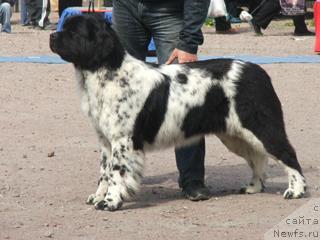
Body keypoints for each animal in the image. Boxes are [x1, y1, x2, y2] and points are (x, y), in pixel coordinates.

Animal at [48, 14, 306, 211]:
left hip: (260, 125)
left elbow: (117, 172)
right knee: (258, 158)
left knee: (286, 153)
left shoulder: (123, 140)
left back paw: (296, 191)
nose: (52, 36)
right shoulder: (105, 140)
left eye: (73, 32)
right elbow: (104, 171)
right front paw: (98, 196)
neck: (107, 72)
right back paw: (253, 187)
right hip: (235, 135)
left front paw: (110, 202)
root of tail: (258, 71)